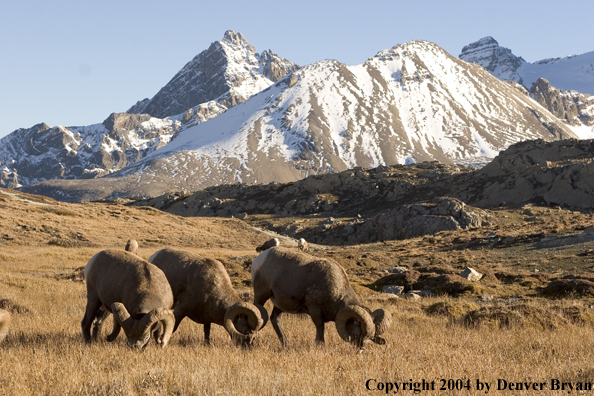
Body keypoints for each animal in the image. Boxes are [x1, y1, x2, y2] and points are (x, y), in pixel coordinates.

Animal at [252, 249, 390, 348]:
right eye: (357, 333)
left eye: (370, 337)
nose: (359, 349)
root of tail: (259, 258)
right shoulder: (315, 309)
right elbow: (320, 327)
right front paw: (319, 345)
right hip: (261, 295)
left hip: (280, 304)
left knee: (275, 319)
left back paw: (285, 344)